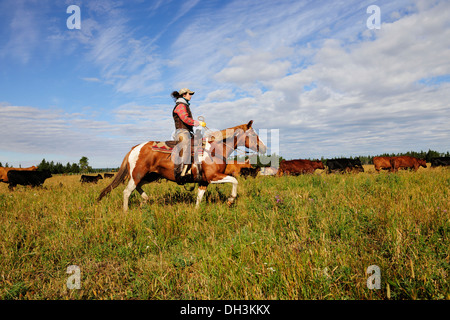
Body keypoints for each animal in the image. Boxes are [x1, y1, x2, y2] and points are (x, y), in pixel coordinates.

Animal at [98, 120, 266, 212]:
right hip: (138, 174)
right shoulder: (213, 177)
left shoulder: (204, 181)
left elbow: (199, 197)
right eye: (253, 135)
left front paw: (197, 211)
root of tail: (135, 148)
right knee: (127, 192)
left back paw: (145, 199)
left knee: (137, 187)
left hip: (150, 176)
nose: (264, 148)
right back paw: (126, 211)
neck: (215, 149)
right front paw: (231, 200)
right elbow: (234, 181)